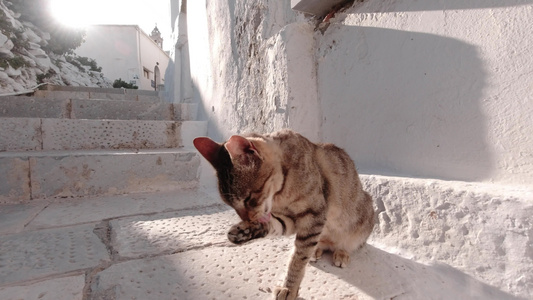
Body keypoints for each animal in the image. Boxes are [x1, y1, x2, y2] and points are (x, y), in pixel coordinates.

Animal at [192, 129, 374, 300]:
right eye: (230, 205)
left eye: (248, 199)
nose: (246, 218)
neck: (280, 195)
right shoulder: (291, 221)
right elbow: (273, 226)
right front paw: (245, 231)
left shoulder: (313, 216)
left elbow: (298, 259)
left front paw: (289, 288)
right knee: (320, 243)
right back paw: (316, 250)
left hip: (361, 218)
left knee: (347, 244)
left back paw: (341, 253)